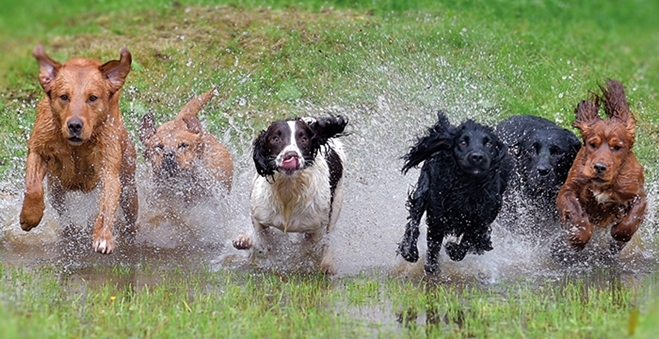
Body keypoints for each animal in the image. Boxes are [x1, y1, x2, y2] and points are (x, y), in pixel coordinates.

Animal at [20, 45, 137, 254]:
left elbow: (106, 206)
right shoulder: (38, 149)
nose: (74, 125)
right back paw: (69, 230)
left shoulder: (109, 169)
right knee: (63, 213)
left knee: (130, 216)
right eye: (64, 97)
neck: (77, 146)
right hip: (56, 189)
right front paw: (29, 217)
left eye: (93, 98)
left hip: (129, 188)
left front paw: (103, 237)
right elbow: (32, 186)